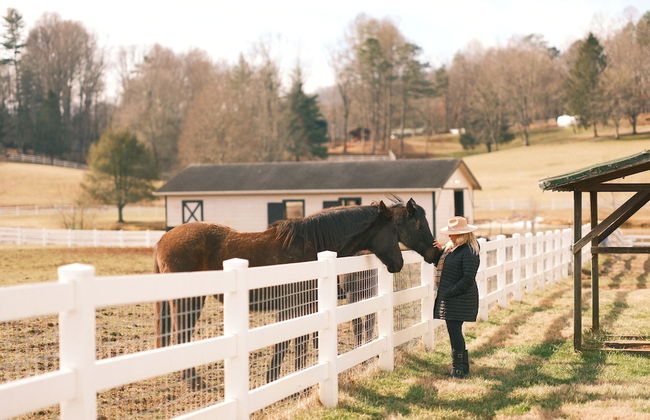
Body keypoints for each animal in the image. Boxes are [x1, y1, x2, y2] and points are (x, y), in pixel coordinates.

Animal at [153, 200, 404, 389]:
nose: (399, 263)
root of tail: (163, 239)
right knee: (182, 339)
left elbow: (295, 344)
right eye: (393, 231)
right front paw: (286, 383)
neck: (312, 246)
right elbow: (290, 344)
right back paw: (195, 384)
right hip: (187, 302)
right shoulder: (295, 306)